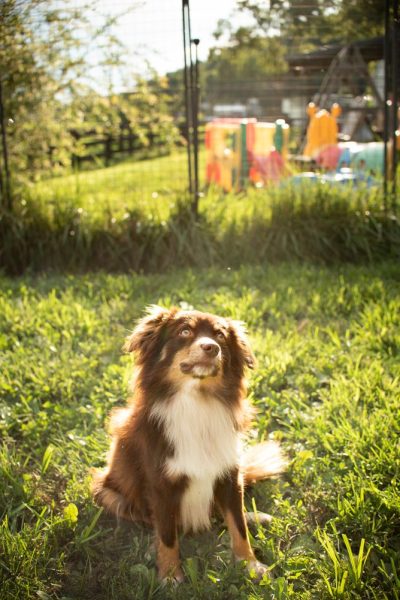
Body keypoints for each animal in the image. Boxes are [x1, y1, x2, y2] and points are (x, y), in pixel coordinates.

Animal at [91, 304, 284, 580]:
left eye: (220, 336)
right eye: (184, 331)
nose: (211, 347)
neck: (196, 402)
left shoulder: (230, 474)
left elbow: (238, 526)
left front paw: (250, 564)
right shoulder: (160, 483)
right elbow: (167, 534)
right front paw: (170, 574)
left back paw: (254, 516)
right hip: (106, 492)